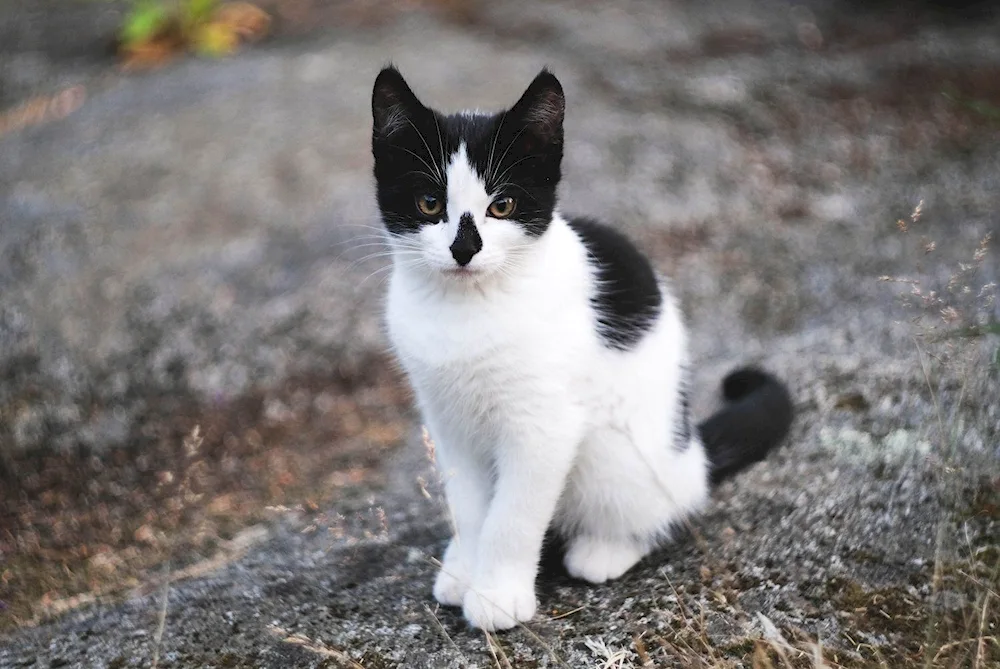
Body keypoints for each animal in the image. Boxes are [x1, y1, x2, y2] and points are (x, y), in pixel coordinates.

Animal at [372, 68, 792, 632]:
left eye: (502, 206)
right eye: (429, 203)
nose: (464, 249)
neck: (467, 308)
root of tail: (695, 450)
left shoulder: (545, 425)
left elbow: (512, 517)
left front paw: (497, 595)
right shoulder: (446, 422)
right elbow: (469, 506)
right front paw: (465, 571)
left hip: (621, 455)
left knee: (664, 507)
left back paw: (604, 550)